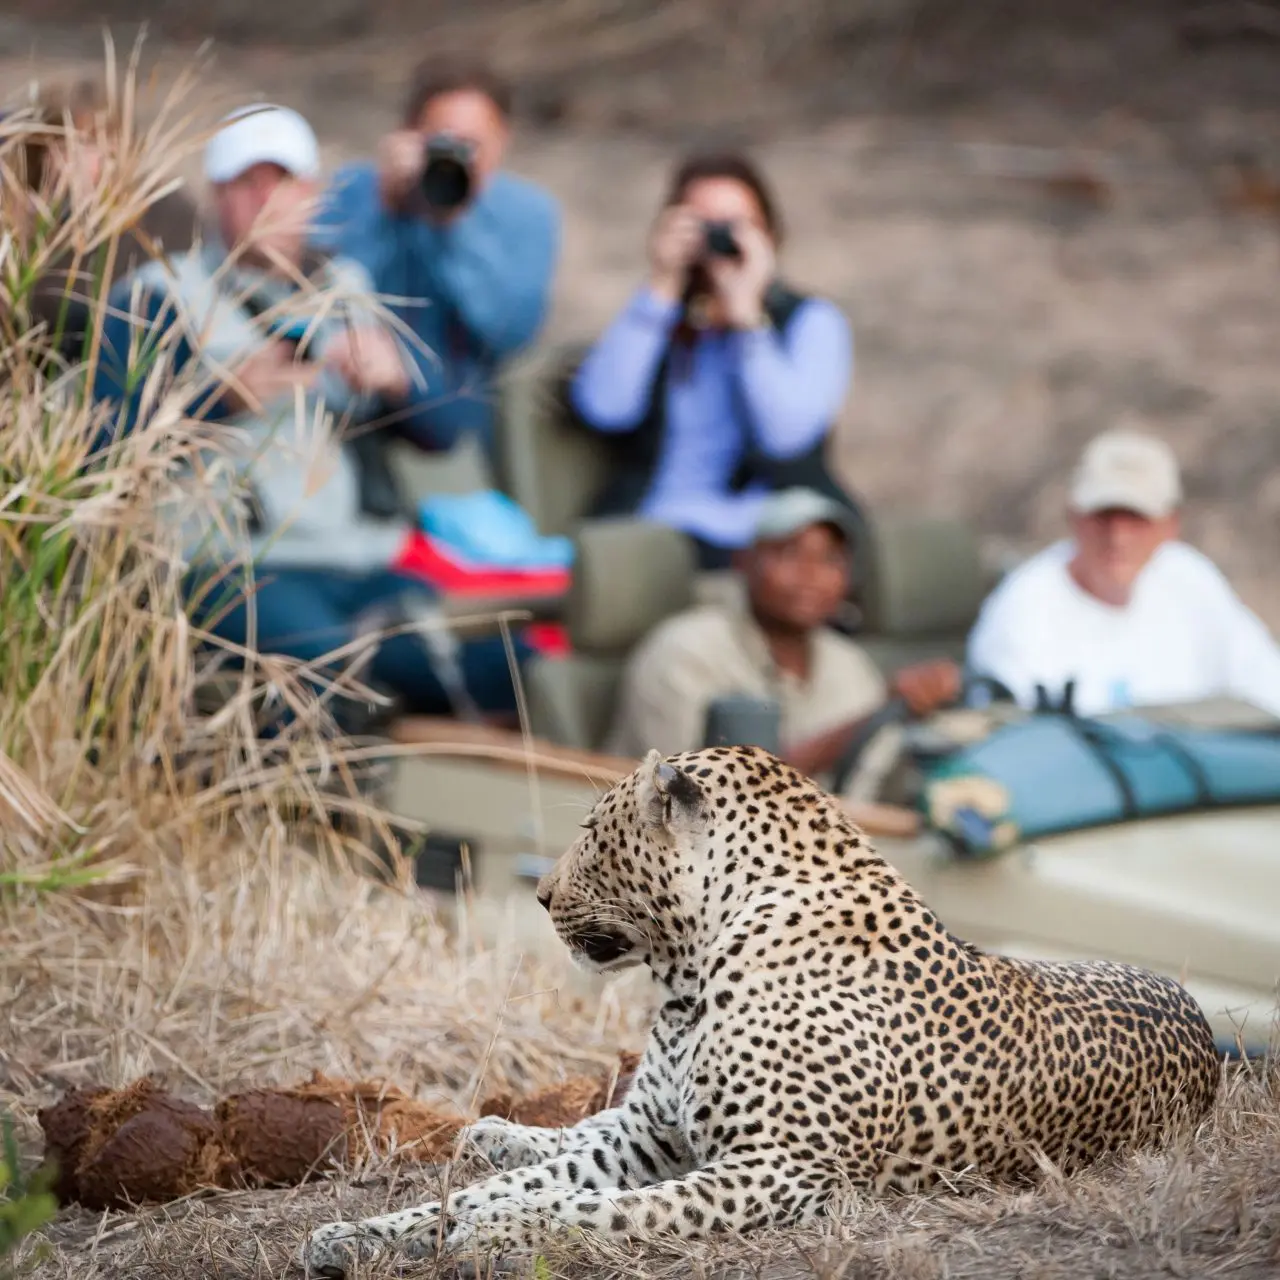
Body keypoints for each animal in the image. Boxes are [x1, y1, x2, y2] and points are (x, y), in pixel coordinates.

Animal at [302, 745, 1221, 1277]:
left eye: (595, 834)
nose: (540, 894)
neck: (689, 975)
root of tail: (1206, 1026)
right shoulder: (648, 1138)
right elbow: (492, 1190)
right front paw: (355, 1236)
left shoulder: (784, 1165)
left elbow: (600, 1206)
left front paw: (499, 1232)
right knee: (569, 1128)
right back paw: (492, 1133)